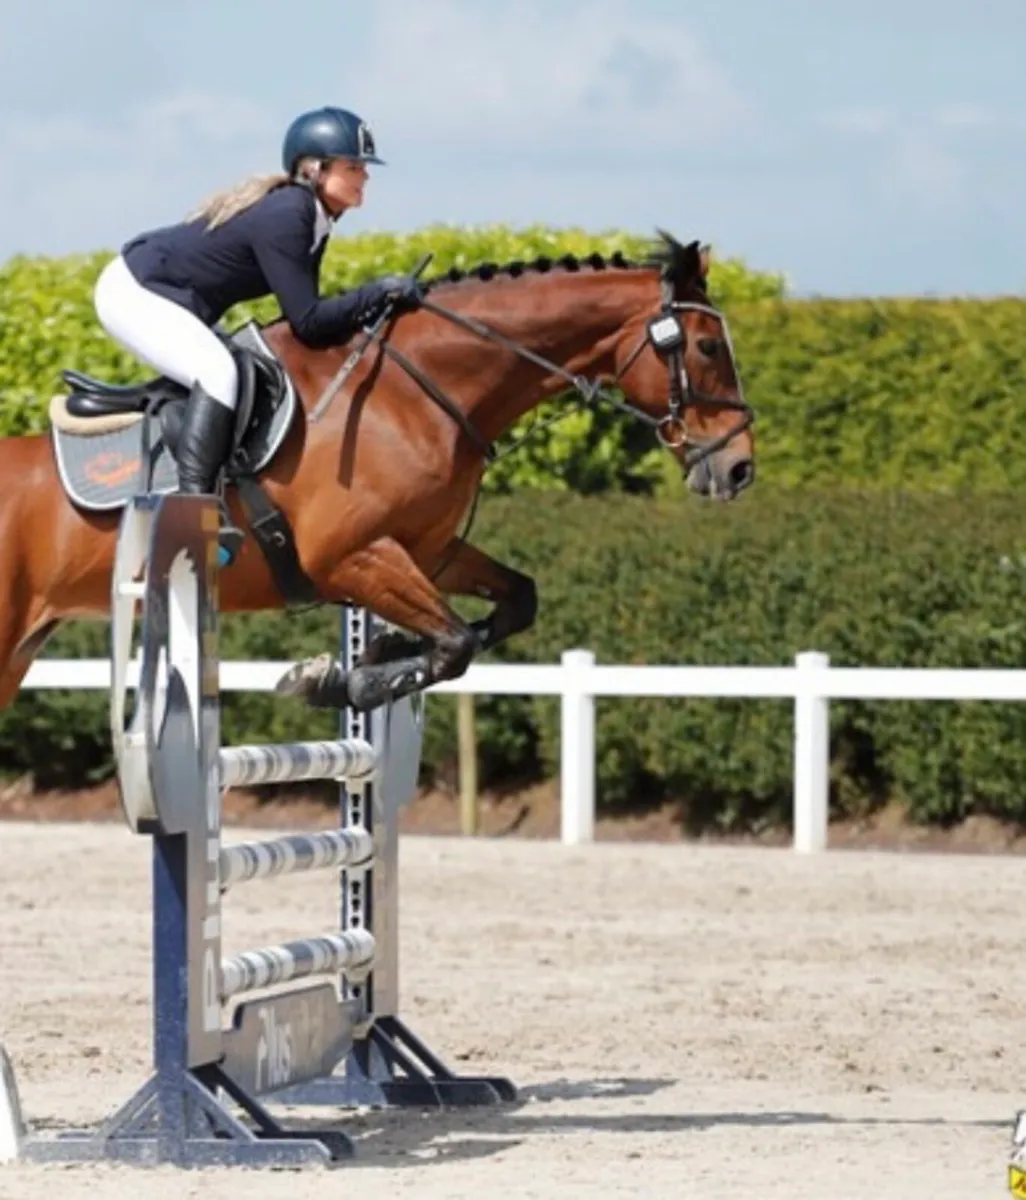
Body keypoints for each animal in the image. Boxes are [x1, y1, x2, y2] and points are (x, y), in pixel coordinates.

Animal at [0, 231, 755, 714]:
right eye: (707, 346)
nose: (740, 468)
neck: (414, 393)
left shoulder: (428, 550)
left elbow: (511, 605)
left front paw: (366, 660)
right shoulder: (351, 557)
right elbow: (455, 643)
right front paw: (342, 682)